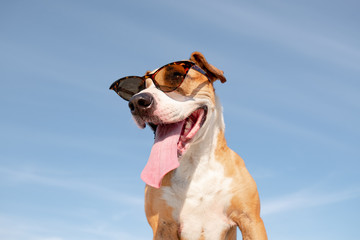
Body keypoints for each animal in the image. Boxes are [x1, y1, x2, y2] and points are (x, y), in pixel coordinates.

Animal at [109, 52, 268, 240]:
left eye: (176, 76)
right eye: (140, 88)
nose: (137, 101)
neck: (195, 162)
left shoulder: (250, 219)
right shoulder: (163, 225)